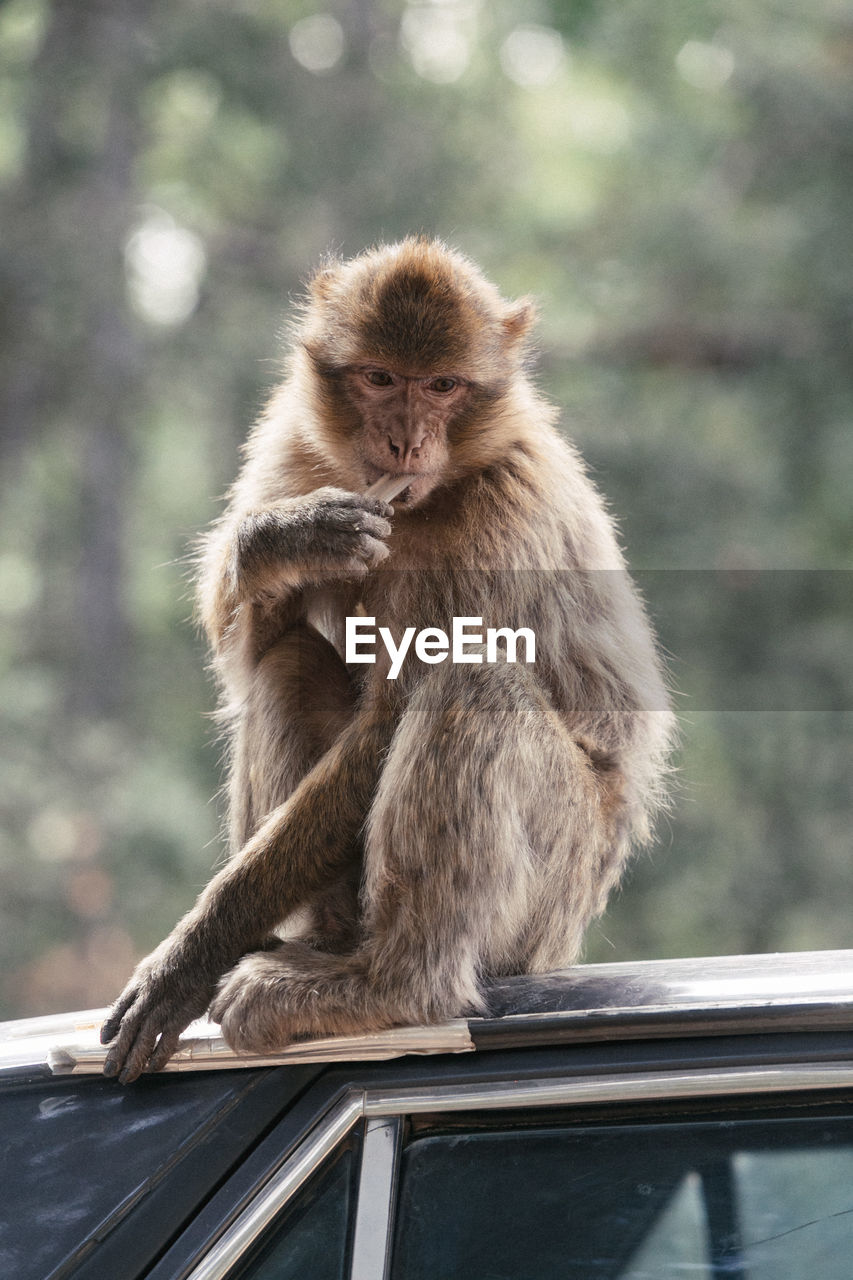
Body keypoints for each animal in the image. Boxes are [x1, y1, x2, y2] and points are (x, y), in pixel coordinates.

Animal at [99, 238, 671, 1080]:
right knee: (289, 661)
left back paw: (390, 985)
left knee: (471, 679)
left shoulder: (499, 525)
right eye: (378, 378)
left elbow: (390, 716)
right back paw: (321, 941)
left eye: (440, 386)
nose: (404, 441)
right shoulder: (290, 445)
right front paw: (284, 540)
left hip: (557, 886)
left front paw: (194, 953)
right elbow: (248, 654)